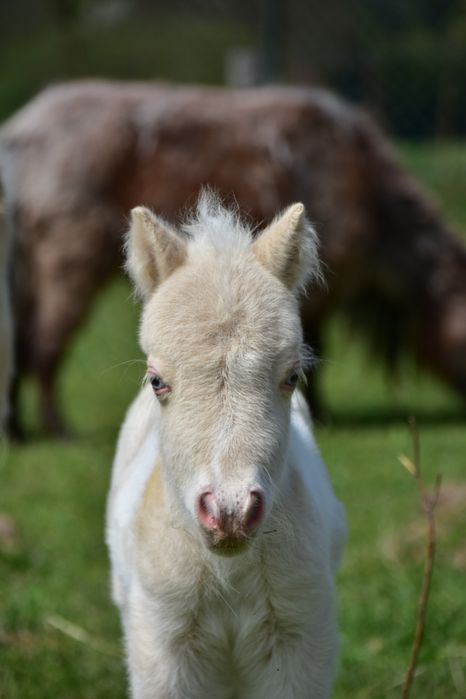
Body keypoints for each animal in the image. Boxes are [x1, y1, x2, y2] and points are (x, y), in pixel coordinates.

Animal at [0, 79, 466, 434]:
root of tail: (21, 136)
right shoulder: (320, 290)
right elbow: (315, 350)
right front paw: (320, 414)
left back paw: (18, 429)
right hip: (68, 260)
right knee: (43, 344)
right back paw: (56, 427)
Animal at [105, 193, 346, 699]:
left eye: (292, 376)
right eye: (156, 381)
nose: (230, 512)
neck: (228, 573)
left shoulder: (300, 639)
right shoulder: (162, 644)